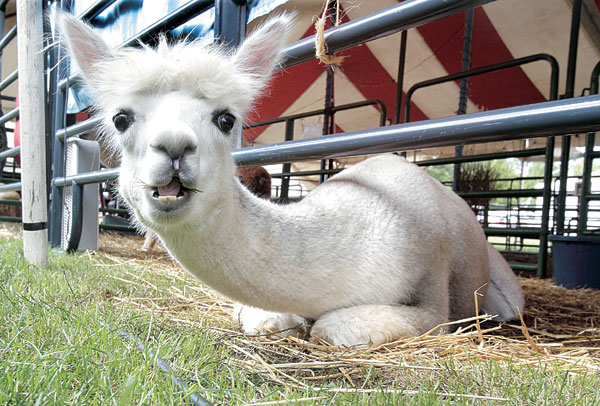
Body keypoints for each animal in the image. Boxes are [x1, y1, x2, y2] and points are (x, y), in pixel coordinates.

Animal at [57, 12, 524, 347]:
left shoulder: (432, 300)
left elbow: (336, 328)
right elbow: (262, 316)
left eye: (226, 119)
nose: (173, 147)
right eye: (121, 118)